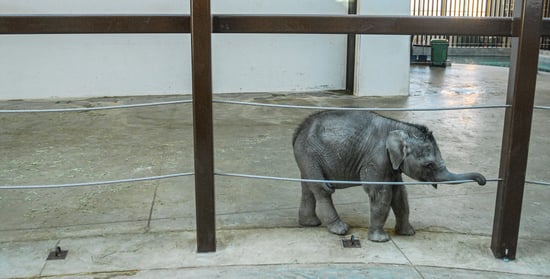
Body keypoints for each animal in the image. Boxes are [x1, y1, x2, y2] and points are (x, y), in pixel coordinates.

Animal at [294, 111, 488, 243]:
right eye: (429, 165)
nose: (483, 181)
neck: (400, 127)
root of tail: (298, 130)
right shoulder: (377, 158)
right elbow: (381, 193)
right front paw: (381, 240)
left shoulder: (392, 164)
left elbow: (400, 194)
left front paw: (408, 233)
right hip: (310, 155)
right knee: (323, 190)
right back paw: (340, 230)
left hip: (307, 159)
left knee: (308, 188)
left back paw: (310, 224)